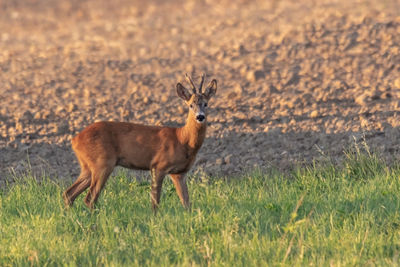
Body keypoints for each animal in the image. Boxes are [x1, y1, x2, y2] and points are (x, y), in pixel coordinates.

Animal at [62, 74, 217, 211]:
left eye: (206, 104)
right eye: (190, 105)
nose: (200, 117)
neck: (182, 139)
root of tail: (75, 140)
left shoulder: (179, 173)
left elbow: (186, 203)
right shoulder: (158, 165)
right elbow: (155, 202)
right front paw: (155, 219)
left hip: (88, 167)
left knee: (69, 193)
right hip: (103, 163)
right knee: (89, 198)